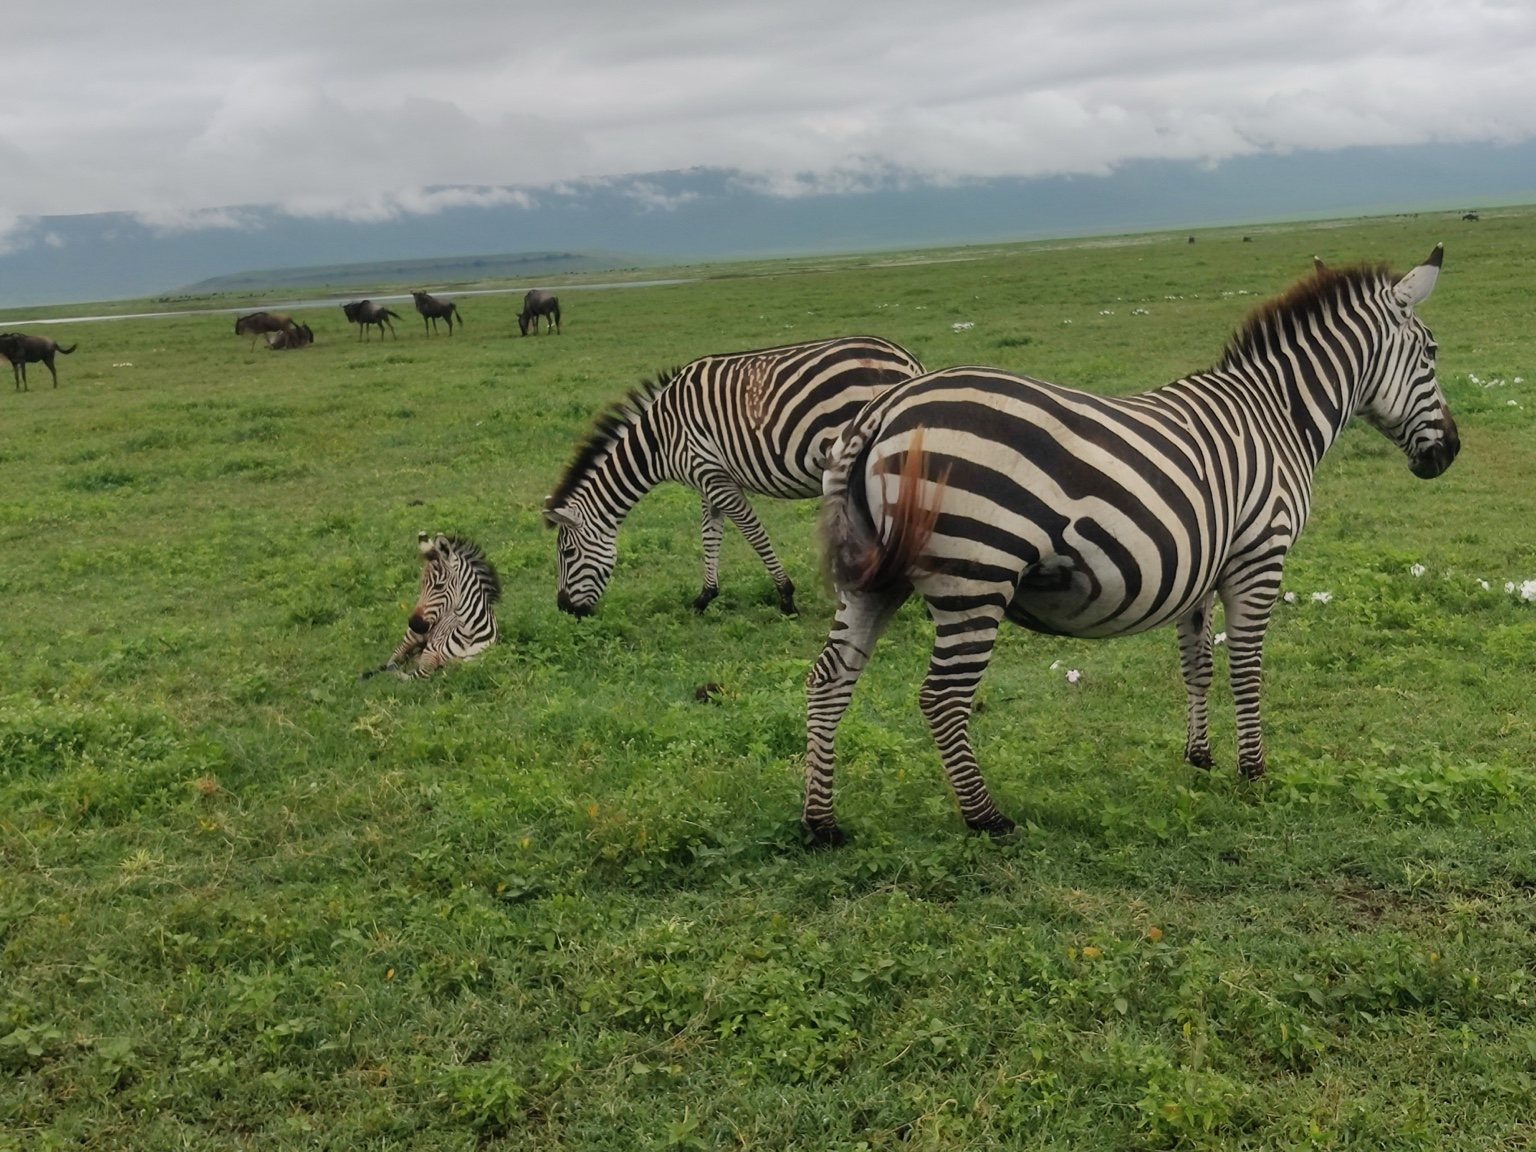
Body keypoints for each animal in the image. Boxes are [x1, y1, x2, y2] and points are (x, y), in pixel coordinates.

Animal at [360, 533, 501, 679]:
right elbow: (420, 673)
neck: (469, 631)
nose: (414, 623)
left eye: (439, 586)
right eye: (422, 584)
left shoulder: (472, 662)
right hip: (412, 637)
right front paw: (402, 673)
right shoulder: (431, 649)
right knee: (394, 657)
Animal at [543, 335, 925, 617]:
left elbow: (752, 532)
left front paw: (786, 597)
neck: (659, 440)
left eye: (568, 553)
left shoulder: (713, 475)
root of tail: (907, 362)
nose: (565, 610)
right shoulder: (707, 478)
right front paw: (705, 596)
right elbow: (710, 534)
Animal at [803, 247, 1458, 843]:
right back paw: (987, 819)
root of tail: (882, 411)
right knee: (942, 698)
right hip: (976, 573)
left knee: (827, 680)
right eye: (1431, 353)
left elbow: (1198, 666)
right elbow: (1246, 666)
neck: (1279, 416)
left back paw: (821, 823)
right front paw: (1253, 771)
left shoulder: (1202, 564)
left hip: (875, 579)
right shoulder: (1258, 555)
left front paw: (1200, 757)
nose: (1449, 452)